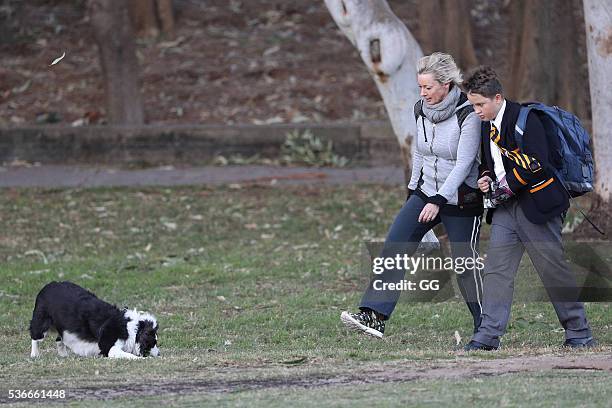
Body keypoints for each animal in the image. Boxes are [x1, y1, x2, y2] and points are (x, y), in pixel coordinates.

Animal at [29, 282, 159, 358]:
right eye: (153, 343)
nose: (159, 353)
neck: (132, 328)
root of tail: (47, 286)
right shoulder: (109, 348)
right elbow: (128, 355)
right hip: (41, 324)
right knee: (35, 337)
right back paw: (35, 354)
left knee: (59, 339)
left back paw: (63, 355)